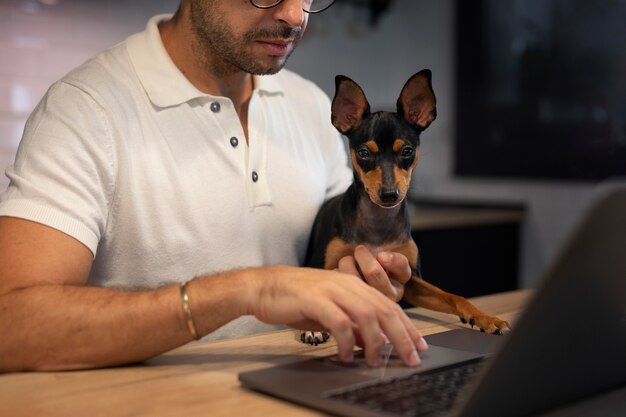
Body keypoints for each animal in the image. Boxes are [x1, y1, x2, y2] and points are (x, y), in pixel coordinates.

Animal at [300, 70, 510, 344]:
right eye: (364, 153)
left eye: (407, 151)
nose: (390, 194)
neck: (377, 223)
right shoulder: (319, 268)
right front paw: (312, 326)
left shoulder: (410, 280)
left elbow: (453, 296)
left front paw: (485, 318)